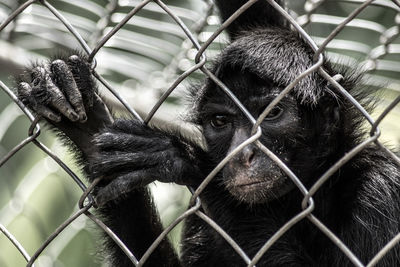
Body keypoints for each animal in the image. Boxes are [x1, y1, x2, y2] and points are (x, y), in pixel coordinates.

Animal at [15, 0, 400, 267]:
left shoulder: (379, 193)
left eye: (273, 113)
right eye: (220, 122)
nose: (241, 154)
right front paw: (88, 128)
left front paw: (184, 159)